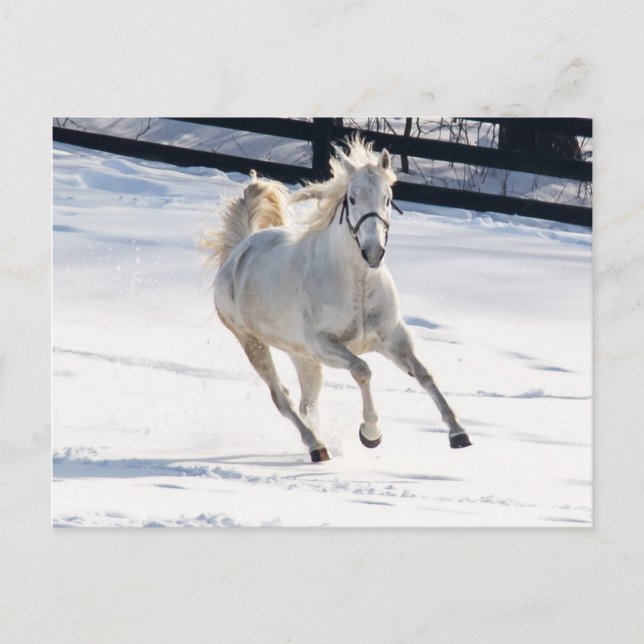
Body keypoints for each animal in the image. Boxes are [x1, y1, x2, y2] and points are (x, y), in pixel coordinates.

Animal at [201, 137, 471, 462]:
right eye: (352, 199)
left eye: (388, 198)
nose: (373, 252)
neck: (357, 286)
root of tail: (239, 250)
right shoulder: (324, 345)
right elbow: (362, 370)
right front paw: (371, 433)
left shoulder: (392, 337)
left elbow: (424, 374)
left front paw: (458, 432)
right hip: (253, 342)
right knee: (281, 397)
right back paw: (316, 446)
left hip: (301, 355)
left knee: (306, 403)